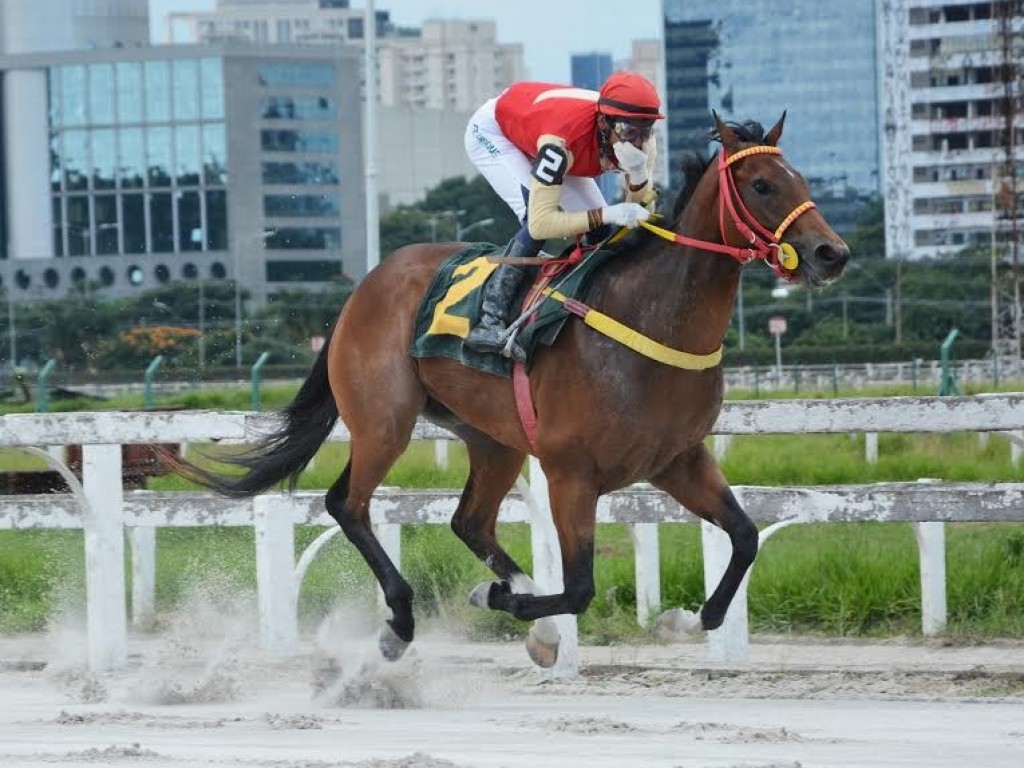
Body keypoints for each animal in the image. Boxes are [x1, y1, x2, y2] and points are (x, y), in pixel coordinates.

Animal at [174, 114, 847, 667]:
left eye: (798, 176)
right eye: (761, 185)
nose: (830, 252)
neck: (653, 318)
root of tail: (366, 283)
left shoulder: (677, 459)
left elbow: (745, 537)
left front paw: (679, 621)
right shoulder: (571, 471)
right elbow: (579, 587)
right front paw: (511, 608)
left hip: (492, 438)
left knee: (468, 521)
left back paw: (514, 604)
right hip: (384, 420)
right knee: (348, 503)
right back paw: (401, 621)